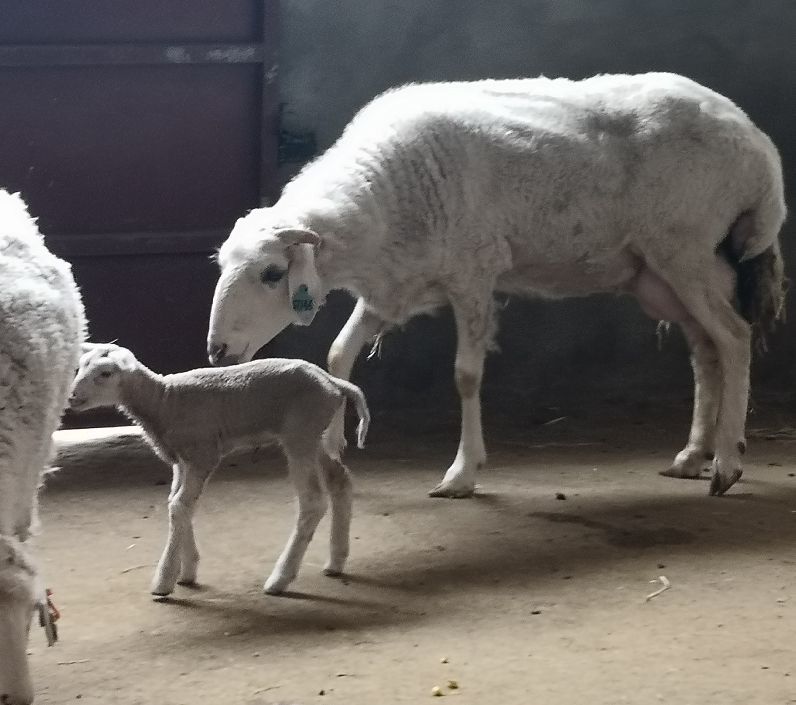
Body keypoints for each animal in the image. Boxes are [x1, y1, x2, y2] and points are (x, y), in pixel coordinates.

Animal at [67, 344, 370, 596]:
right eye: (80, 366)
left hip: (300, 433)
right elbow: (177, 505)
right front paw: (187, 570)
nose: (72, 397)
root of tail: (333, 382)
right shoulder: (182, 460)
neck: (164, 400)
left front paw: (164, 581)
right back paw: (336, 561)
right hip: (314, 435)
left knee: (313, 501)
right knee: (340, 481)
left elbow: (179, 506)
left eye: (105, 373)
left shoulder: (203, 454)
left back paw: (280, 579)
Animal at [208, 71, 788, 498]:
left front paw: (462, 473)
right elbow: (337, 355)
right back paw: (693, 455)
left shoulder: (473, 273)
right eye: (220, 264)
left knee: (734, 337)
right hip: (665, 271)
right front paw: (331, 450)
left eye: (272, 273)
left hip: (685, 248)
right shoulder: (395, 287)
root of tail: (754, 140)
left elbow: (466, 375)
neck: (384, 193)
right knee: (706, 350)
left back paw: (727, 463)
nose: (216, 351)